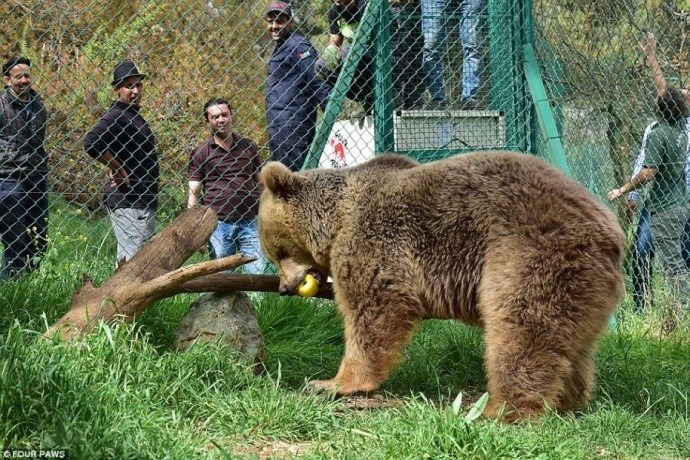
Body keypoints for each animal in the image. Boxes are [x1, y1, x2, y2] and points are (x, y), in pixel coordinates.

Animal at [256, 151, 624, 420]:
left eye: (278, 251)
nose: (285, 288)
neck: (335, 221)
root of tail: (611, 231)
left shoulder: (375, 241)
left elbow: (374, 311)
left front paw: (332, 382)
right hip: (584, 287)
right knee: (573, 346)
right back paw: (568, 402)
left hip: (529, 254)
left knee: (520, 330)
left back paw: (500, 410)